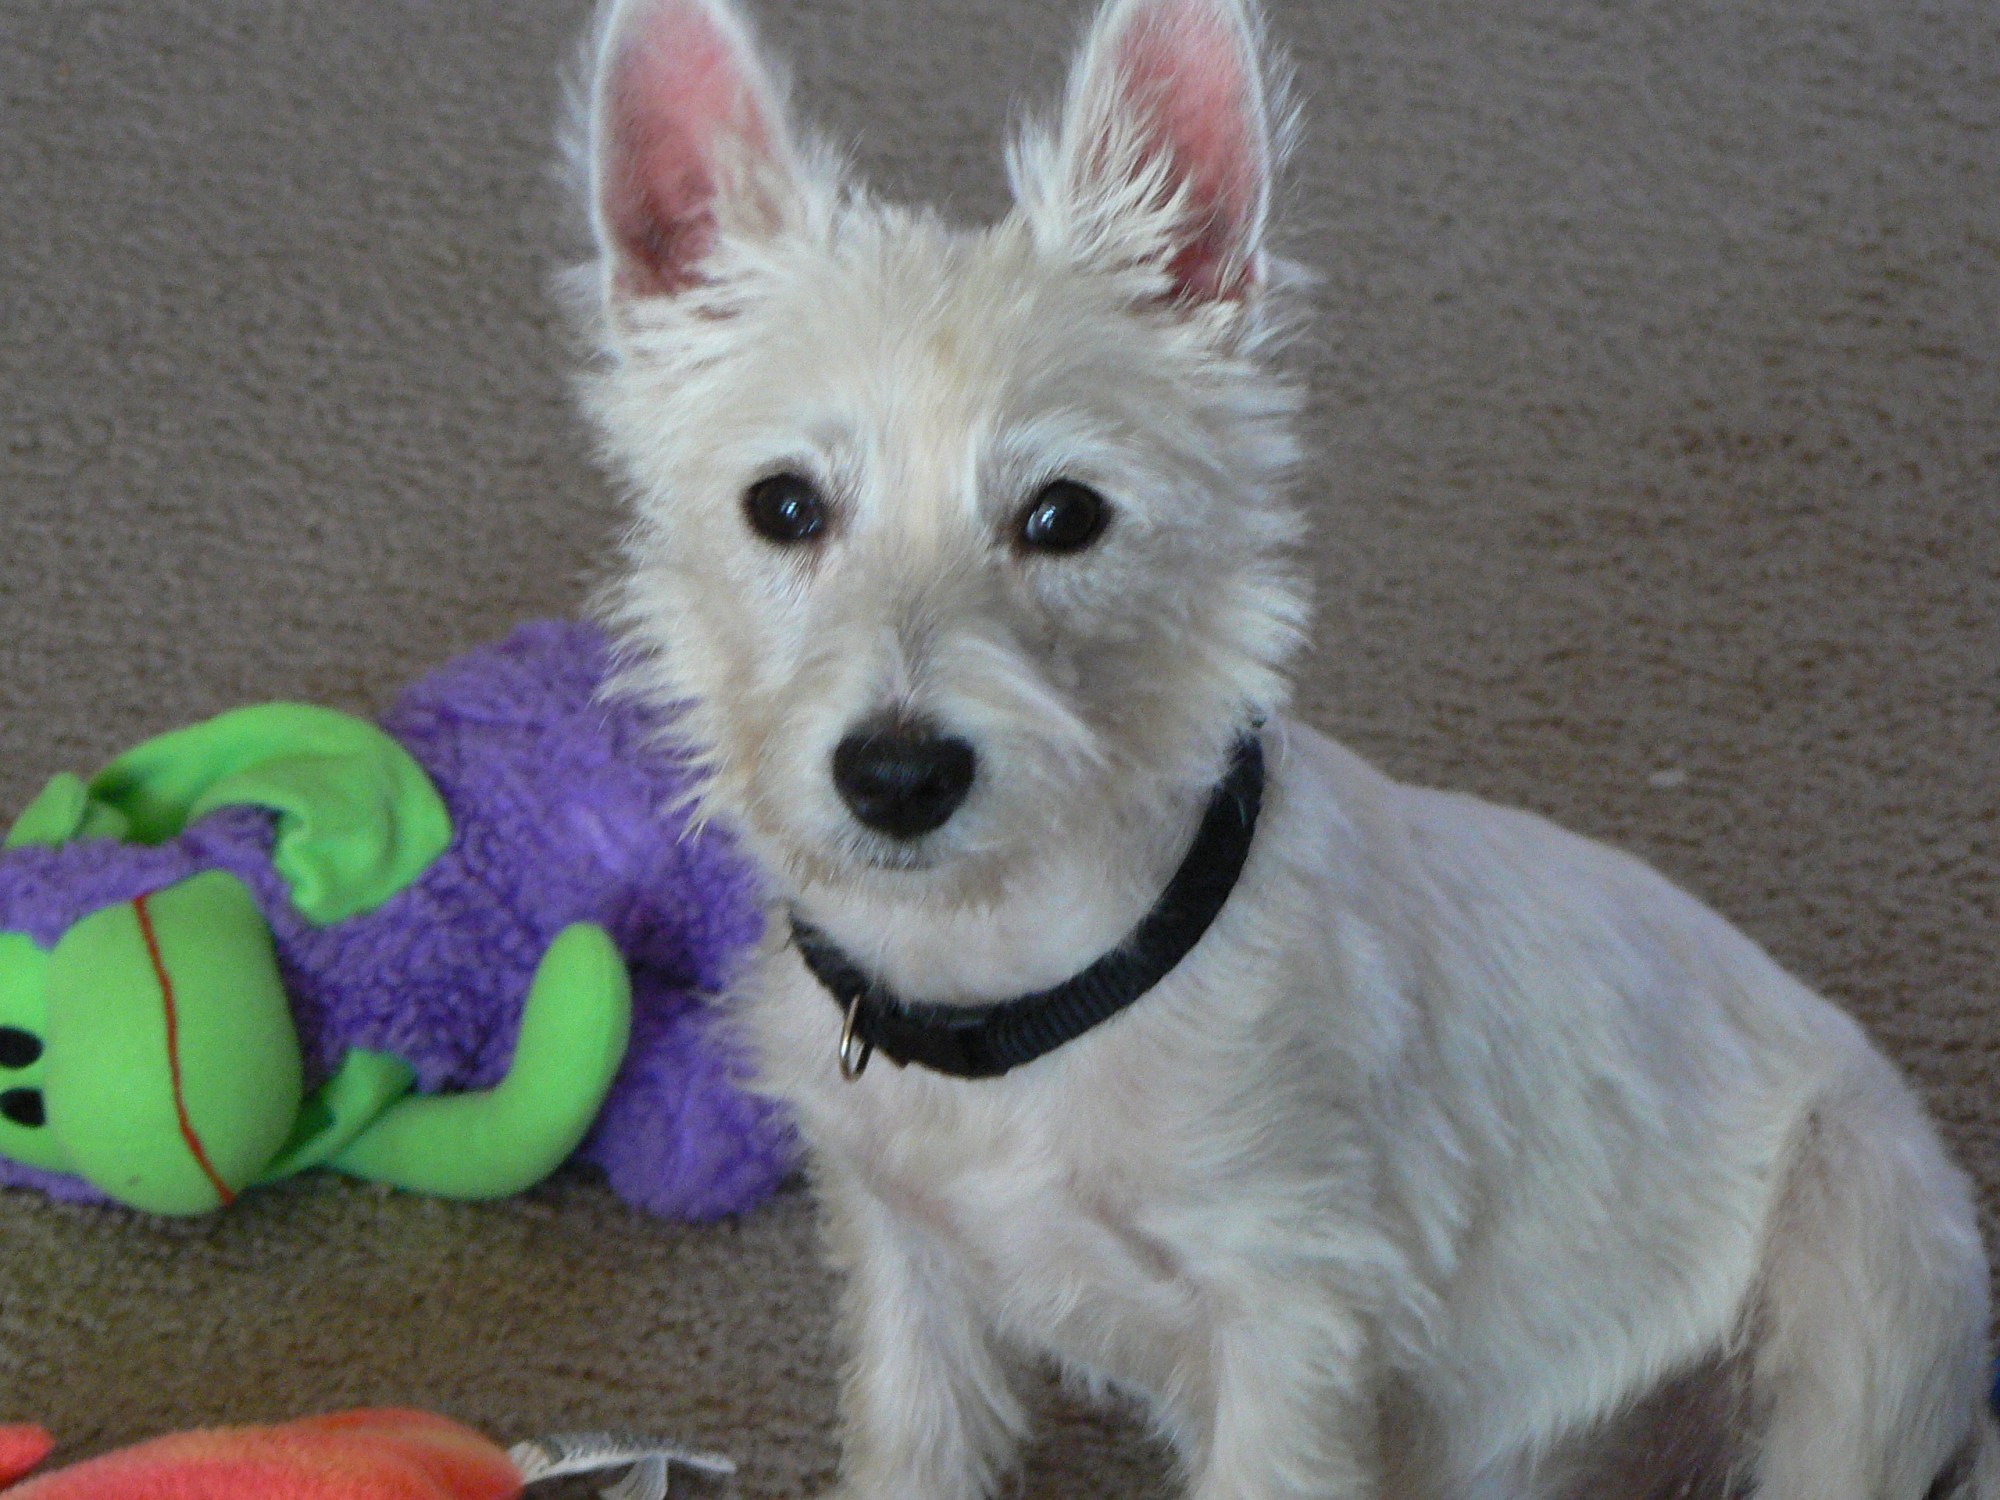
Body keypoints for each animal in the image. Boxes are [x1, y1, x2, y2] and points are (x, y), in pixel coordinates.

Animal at [567, 0, 1998, 1493]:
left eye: (1065, 515)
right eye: (784, 506)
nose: (898, 776)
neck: (1006, 983)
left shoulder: (1290, 1320)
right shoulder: (909, 1270)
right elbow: (912, 1444)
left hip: (1859, 1269)